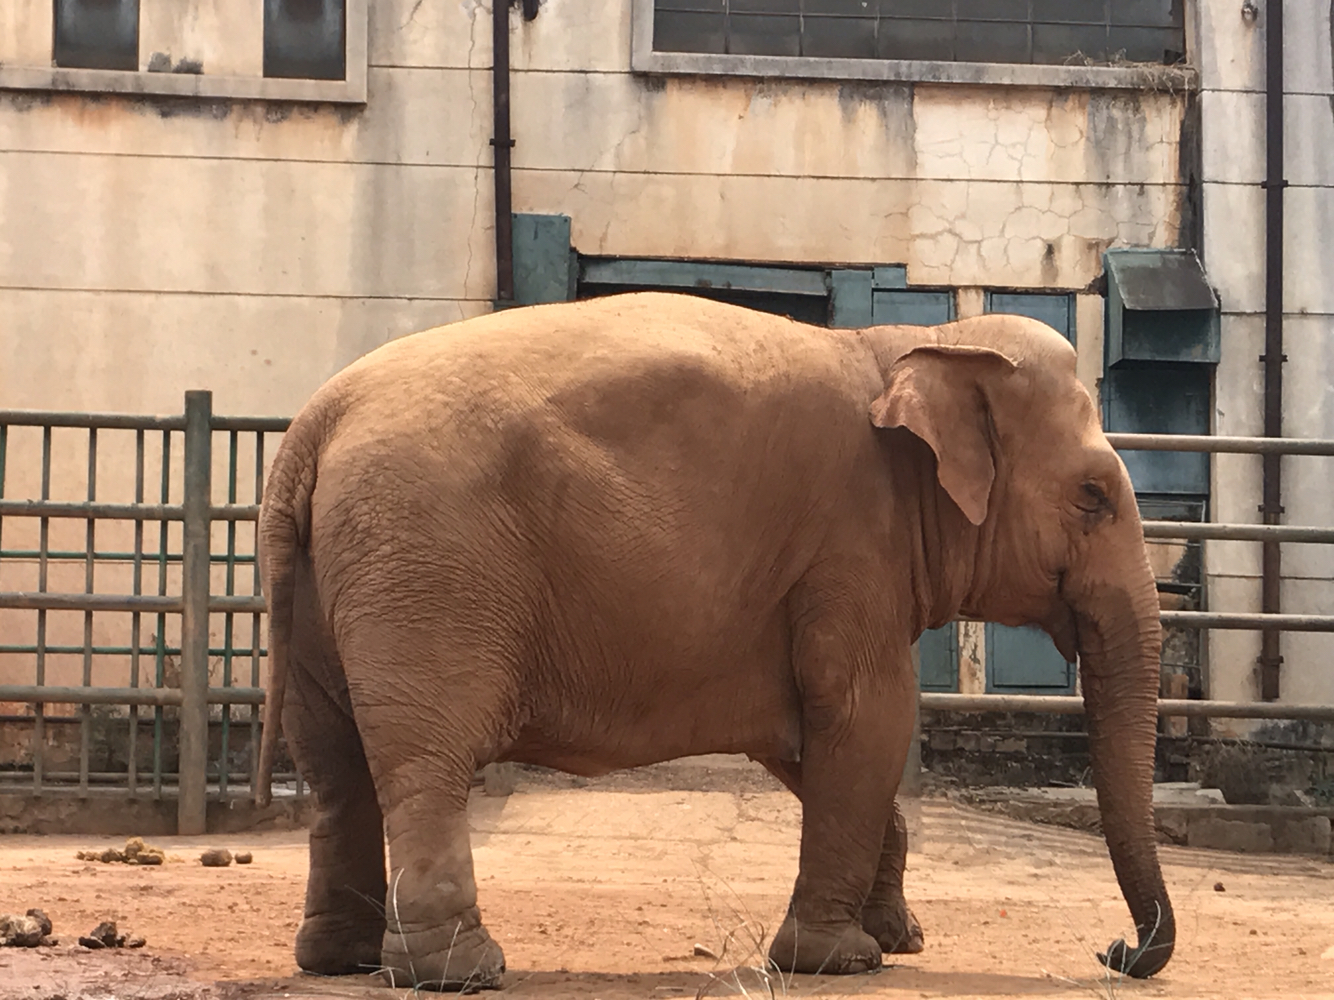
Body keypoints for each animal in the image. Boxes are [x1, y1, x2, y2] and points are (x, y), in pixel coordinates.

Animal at [254, 289, 1173, 997]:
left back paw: (340, 959)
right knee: (424, 764)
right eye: (1093, 497)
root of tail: (313, 427)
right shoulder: (852, 542)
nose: (1115, 950)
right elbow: (866, 719)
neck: (910, 349)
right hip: (428, 576)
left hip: (330, 591)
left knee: (333, 763)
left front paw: (897, 938)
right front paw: (841, 959)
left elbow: (812, 743)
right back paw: (460, 972)